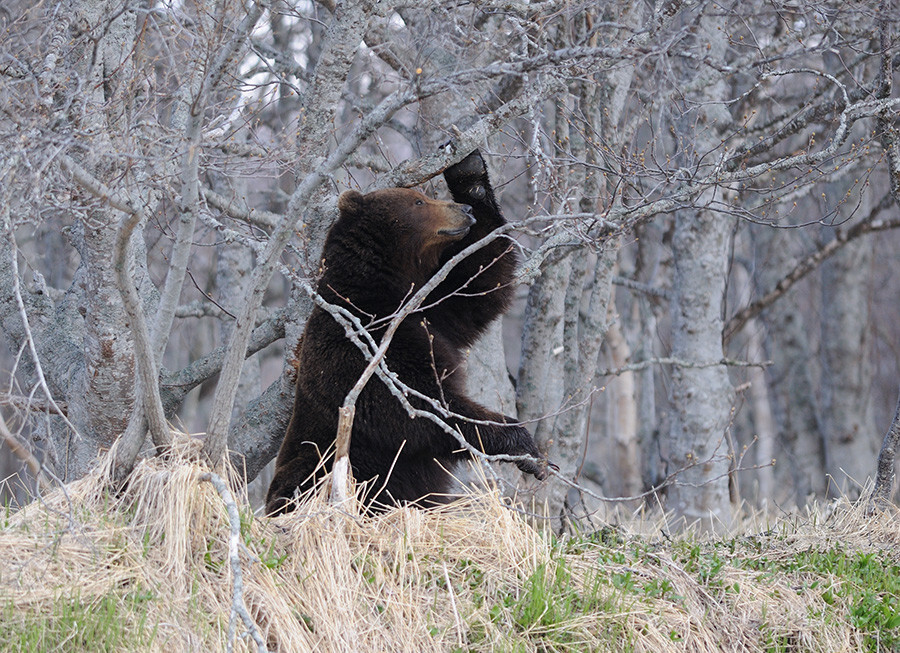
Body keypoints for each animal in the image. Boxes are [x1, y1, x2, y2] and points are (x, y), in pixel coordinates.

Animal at [266, 149, 548, 516]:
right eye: (418, 201)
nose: (464, 211)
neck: (387, 289)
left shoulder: (432, 310)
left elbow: (481, 281)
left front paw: (469, 171)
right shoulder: (364, 345)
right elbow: (421, 407)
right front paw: (521, 444)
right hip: (317, 467)